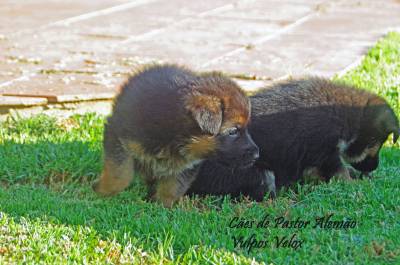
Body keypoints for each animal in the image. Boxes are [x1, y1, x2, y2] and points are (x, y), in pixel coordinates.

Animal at [92, 64, 258, 206]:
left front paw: (162, 209)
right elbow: (119, 174)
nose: (257, 155)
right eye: (233, 131)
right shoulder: (118, 135)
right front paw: (103, 194)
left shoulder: (187, 165)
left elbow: (172, 188)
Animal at [188, 77, 400, 201]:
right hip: (261, 175)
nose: (373, 168)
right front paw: (355, 184)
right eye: (373, 143)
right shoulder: (325, 152)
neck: (347, 118)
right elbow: (340, 172)